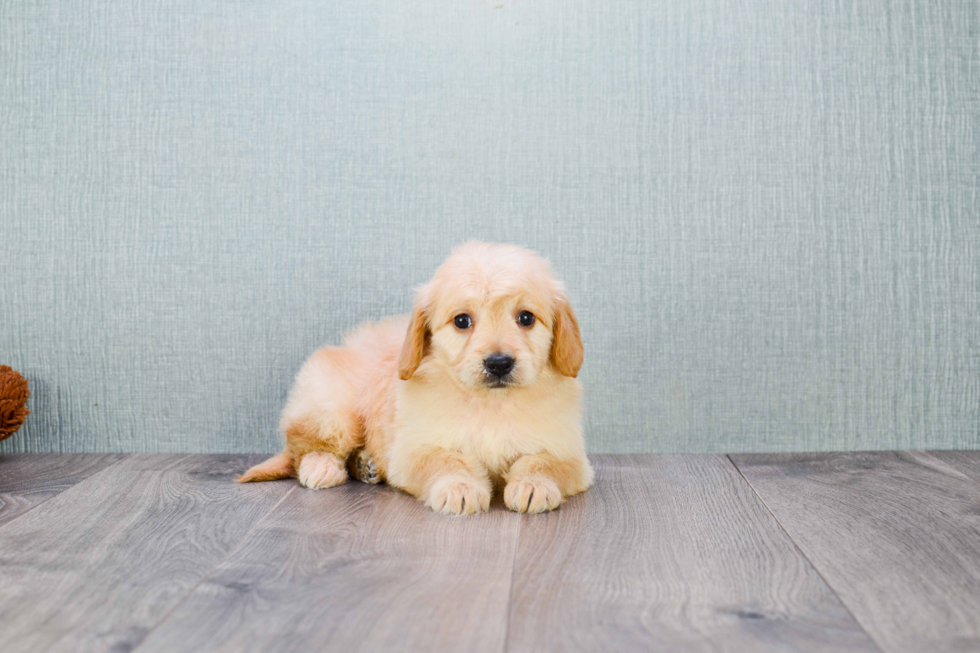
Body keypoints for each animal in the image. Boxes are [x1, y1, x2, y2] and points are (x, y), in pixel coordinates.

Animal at [241, 242, 592, 512]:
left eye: (526, 318)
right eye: (462, 321)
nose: (498, 363)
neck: (491, 403)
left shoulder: (568, 451)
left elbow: (543, 462)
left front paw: (534, 485)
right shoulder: (415, 450)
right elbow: (446, 460)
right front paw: (459, 487)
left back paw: (365, 465)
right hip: (330, 409)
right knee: (302, 446)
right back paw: (322, 466)